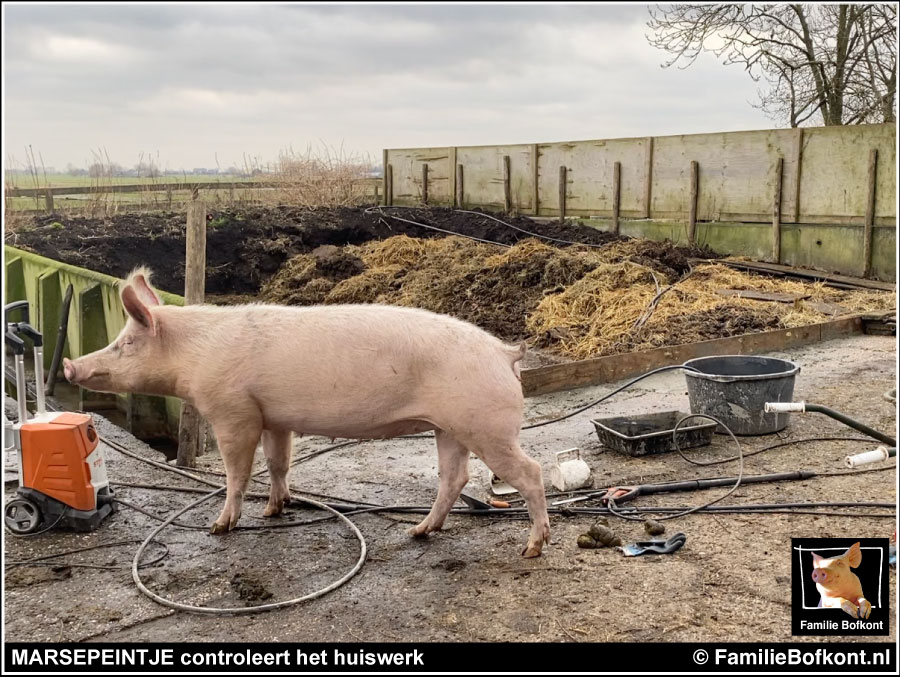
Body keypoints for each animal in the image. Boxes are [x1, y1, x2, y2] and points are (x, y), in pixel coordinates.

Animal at [63, 266, 548, 556]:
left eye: (125, 343)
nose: (70, 364)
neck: (193, 357)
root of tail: (506, 353)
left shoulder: (232, 411)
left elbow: (238, 471)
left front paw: (221, 526)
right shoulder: (273, 418)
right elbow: (279, 462)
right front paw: (274, 511)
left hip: (487, 426)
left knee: (531, 472)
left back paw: (532, 548)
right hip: (450, 427)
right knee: (455, 478)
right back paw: (417, 532)